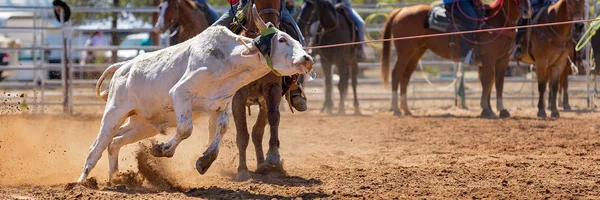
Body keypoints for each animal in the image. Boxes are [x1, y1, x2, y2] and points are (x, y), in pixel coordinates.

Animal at [382, 0, 532, 118]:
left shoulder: (503, 60)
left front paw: (501, 110)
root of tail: (401, 10)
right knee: (396, 74)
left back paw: (406, 109)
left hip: (416, 52)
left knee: (405, 76)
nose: (527, 10)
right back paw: (396, 109)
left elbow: (498, 83)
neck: (497, 22)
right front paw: (486, 109)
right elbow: (488, 81)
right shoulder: (489, 58)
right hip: (405, 52)